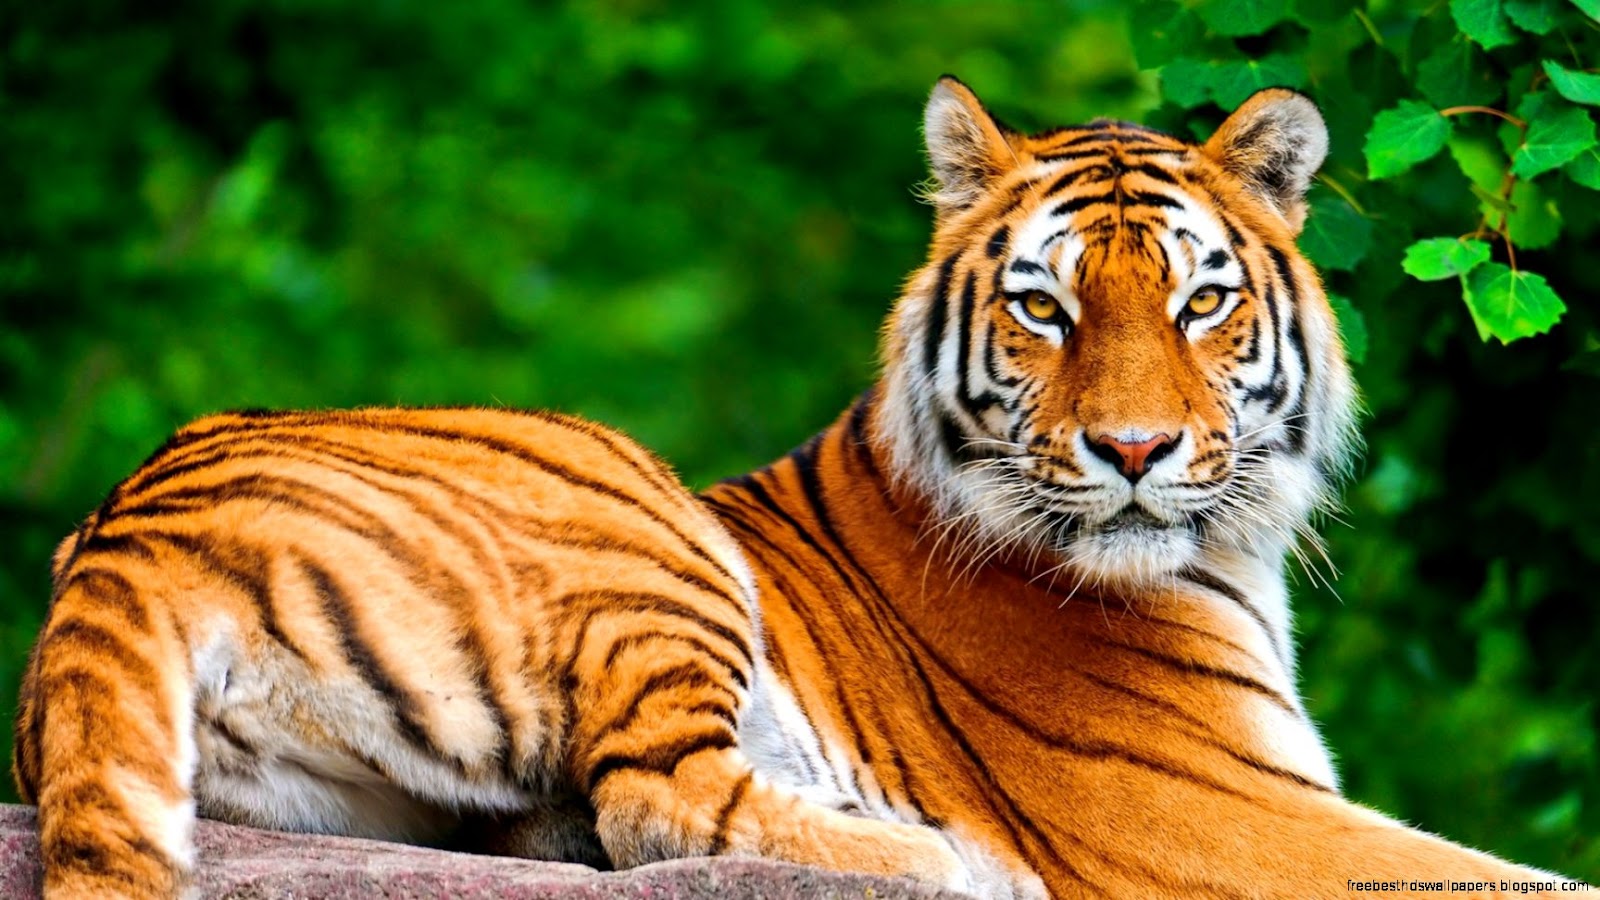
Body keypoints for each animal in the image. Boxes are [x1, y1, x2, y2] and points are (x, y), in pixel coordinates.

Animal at [13, 78, 1585, 900]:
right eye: (1047, 308)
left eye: (1201, 303)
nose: (1133, 454)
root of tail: (123, 528)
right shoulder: (1223, 817)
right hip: (639, 518)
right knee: (658, 801)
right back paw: (938, 858)